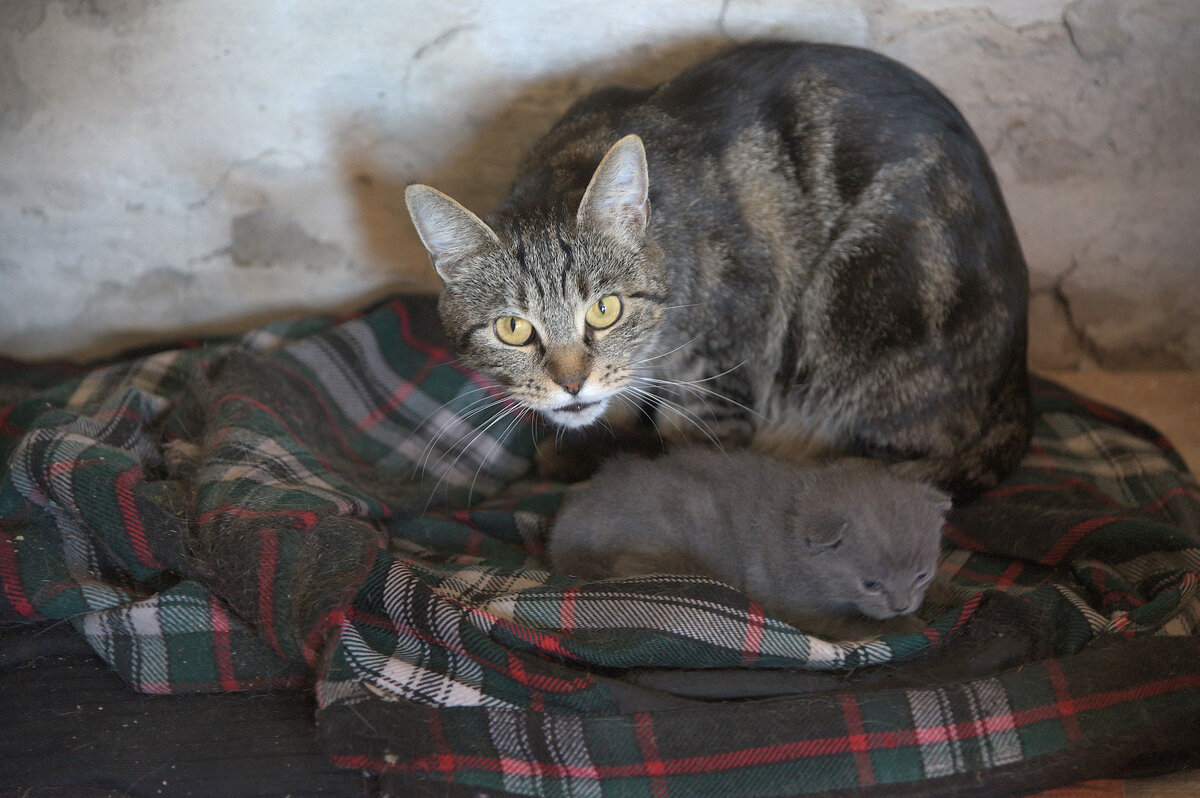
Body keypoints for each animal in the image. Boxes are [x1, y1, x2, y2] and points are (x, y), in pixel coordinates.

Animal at [405, 42, 1032, 499]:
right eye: (513, 328)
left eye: (605, 310)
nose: (573, 383)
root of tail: (1017, 370)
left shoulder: (725, 365)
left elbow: (690, 457)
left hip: (863, 302)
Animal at [549, 451, 950, 638]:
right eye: (871, 584)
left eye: (921, 575)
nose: (901, 605)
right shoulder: (796, 604)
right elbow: (851, 621)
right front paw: (909, 626)